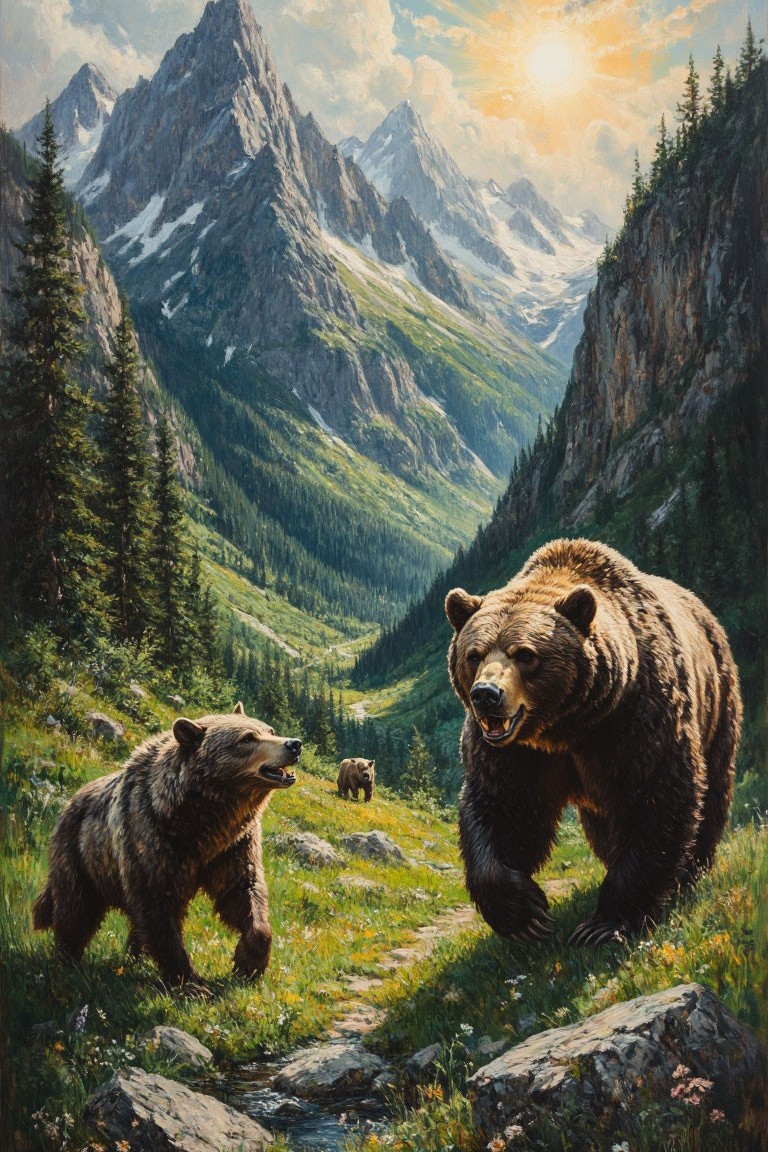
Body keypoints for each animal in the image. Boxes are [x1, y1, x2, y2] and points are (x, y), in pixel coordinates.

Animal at [33, 703, 302, 991]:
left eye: (269, 730)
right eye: (248, 738)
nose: (294, 744)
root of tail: (70, 802)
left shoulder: (233, 847)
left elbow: (243, 890)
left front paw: (248, 963)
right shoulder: (151, 837)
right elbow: (158, 907)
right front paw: (191, 983)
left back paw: (133, 956)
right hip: (81, 856)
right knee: (74, 909)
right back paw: (68, 960)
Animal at [445, 538, 741, 946]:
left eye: (526, 654)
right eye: (473, 654)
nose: (486, 695)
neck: (564, 726)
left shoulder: (635, 719)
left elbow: (657, 796)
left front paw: (604, 924)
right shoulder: (516, 753)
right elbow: (501, 806)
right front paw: (526, 916)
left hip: (718, 699)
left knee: (712, 789)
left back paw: (691, 871)